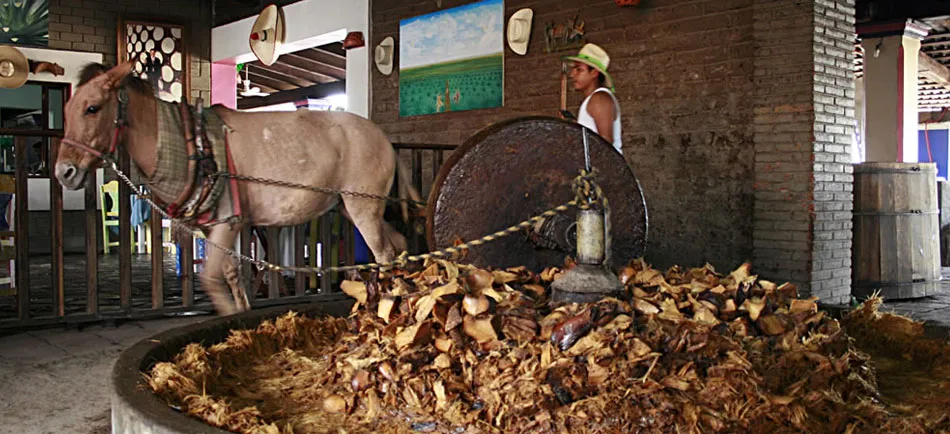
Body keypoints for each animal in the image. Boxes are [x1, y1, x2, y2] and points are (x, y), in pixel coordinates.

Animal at [54, 61, 420, 318]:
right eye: (68, 109)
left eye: (92, 108)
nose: (64, 172)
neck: (191, 146)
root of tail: (384, 139)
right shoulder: (219, 229)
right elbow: (232, 275)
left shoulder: (227, 223)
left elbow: (212, 279)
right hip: (352, 206)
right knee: (399, 246)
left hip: (363, 208)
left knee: (384, 253)